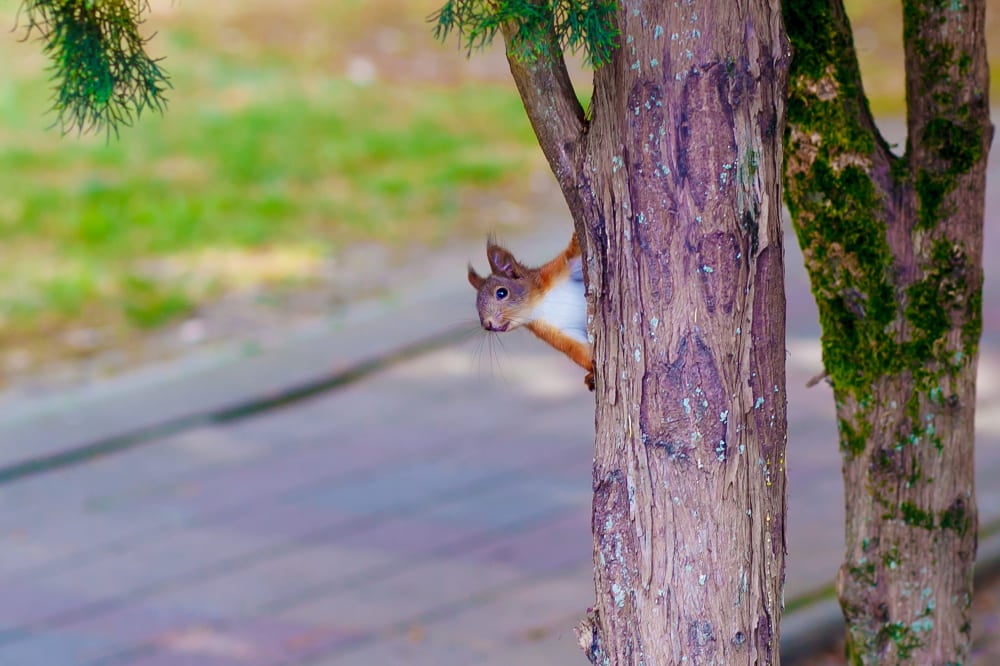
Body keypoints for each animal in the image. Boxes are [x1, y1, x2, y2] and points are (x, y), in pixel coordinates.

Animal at [468, 233, 592, 390]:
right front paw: (592, 368)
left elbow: (574, 250)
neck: (539, 305)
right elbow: (578, 351)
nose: (487, 325)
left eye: (501, 292)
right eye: (476, 306)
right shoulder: (555, 331)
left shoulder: (559, 269)